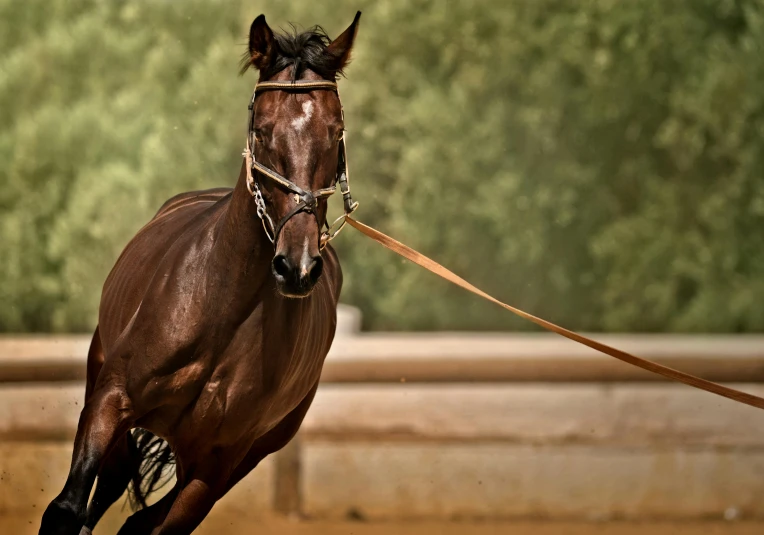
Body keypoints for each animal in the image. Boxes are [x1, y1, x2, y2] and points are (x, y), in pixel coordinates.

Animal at [40, 12, 362, 535]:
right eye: (262, 130)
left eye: (335, 133)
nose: (297, 267)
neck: (220, 314)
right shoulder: (111, 400)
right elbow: (66, 508)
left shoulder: (216, 463)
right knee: (110, 483)